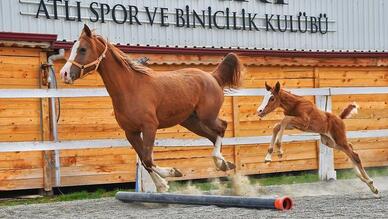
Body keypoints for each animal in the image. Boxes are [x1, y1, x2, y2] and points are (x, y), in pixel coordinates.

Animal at [59, 25, 241, 192]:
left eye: (82, 49)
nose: (64, 74)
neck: (131, 88)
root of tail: (212, 76)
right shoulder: (131, 132)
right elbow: (145, 161)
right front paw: (162, 185)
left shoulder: (149, 127)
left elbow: (147, 158)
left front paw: (172, 173)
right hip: (191, 122)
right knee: (213, 135)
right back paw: (224, 164)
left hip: (206, 116)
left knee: (222, 127)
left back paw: (221, 161)